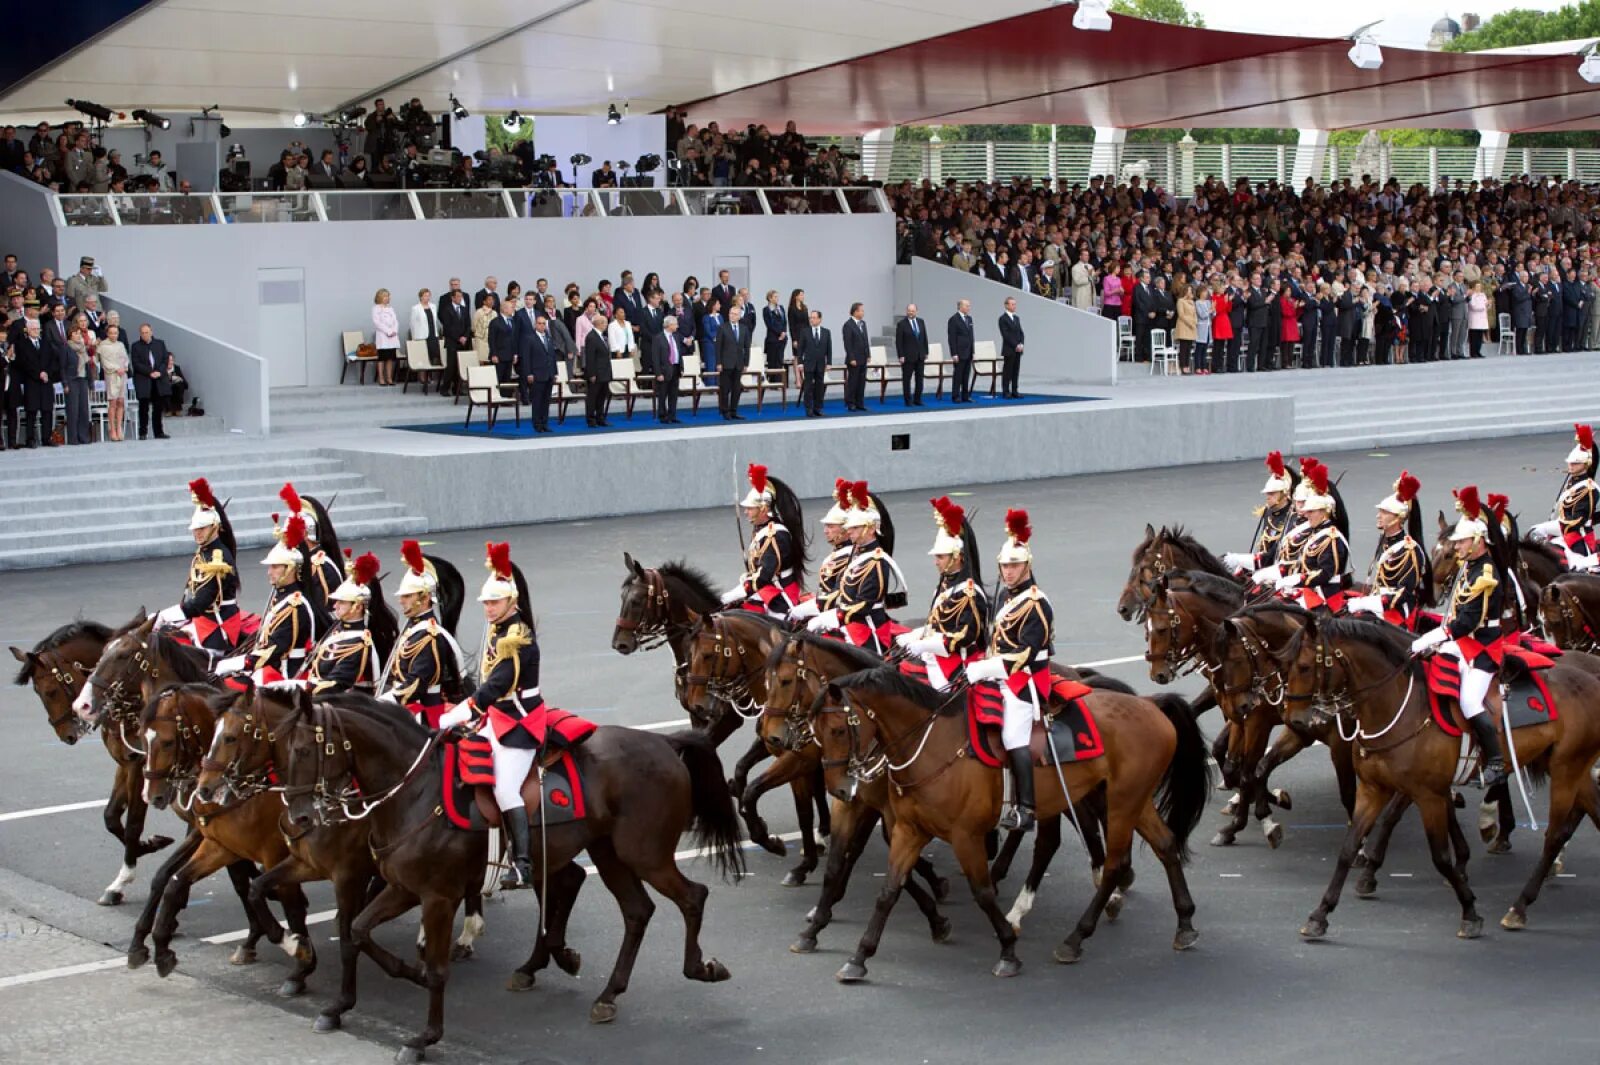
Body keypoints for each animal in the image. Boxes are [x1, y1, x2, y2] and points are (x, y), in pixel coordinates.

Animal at [11, 610, 175, 901]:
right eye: (38, 693)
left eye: (50, 691)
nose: (66, 735)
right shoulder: (125, 763)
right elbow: (111, 817)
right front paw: (147, 846)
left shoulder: (140, 766)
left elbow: (133, 823)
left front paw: (124, 876)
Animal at [280, 684, 736, 1055]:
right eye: (285, 749)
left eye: (303, 751)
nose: (298, 818)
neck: (415, 791)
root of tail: (663, 741)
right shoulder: (402, 888)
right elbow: (357, 931)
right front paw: (365, 993)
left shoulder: (438, 896)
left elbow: (437, 968)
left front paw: (424, 1037)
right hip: (609, 854)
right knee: (637, 911)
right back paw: (607, 994)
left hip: (645, 854)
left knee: (692, 896)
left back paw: (700, 968)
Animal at [793, 630, 1203, 978]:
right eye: (818, 728)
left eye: (838, 729)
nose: (839, 788)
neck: (929, 741)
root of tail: (1150, 705)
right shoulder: (908, 828)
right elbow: (887, 890)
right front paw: (857, 954)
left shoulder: (963, 835)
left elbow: (982, 893)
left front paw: (1007, 948)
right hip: (1129, 798)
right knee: (1163, 844)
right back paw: (1184, 923)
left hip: (1120, 801)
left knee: (1111, 860)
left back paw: (1075, 935)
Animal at [1280, 610, 1600, 933]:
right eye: (1287, 666)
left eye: (1304, 667)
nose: (1295, 721)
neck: (1399, 707)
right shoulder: (1374, 789)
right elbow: (1348, 847)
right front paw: (1320, 914)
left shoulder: (1427, 795)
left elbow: (1439, 854)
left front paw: (1469, 909)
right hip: (1572, 768)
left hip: (1565, 771)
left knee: (1554, 836)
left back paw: (1520, 905)